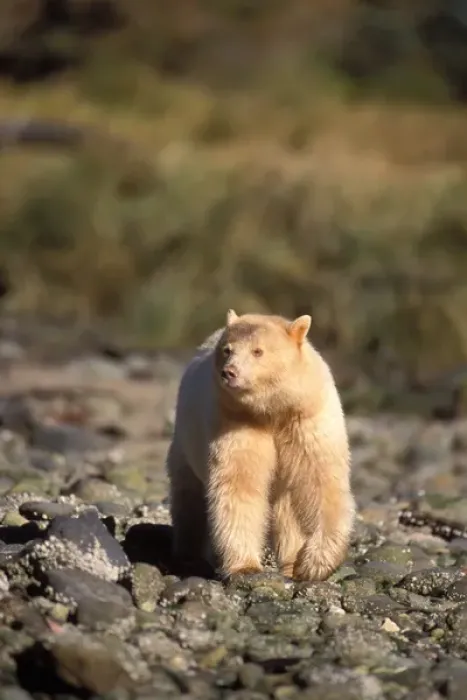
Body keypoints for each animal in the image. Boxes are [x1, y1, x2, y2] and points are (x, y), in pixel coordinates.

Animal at [166, 309, 355, 581]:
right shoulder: (238, 421)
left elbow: (323, 482)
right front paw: (245, 566)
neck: (272, 411)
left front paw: (313, 563)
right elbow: (239, 484)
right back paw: (187, 555)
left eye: (258, 351)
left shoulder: (306, 419)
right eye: (227, 350)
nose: (229, 372)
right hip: (185, 441)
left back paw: (289, 563)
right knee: (188, 496)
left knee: (287, 510)